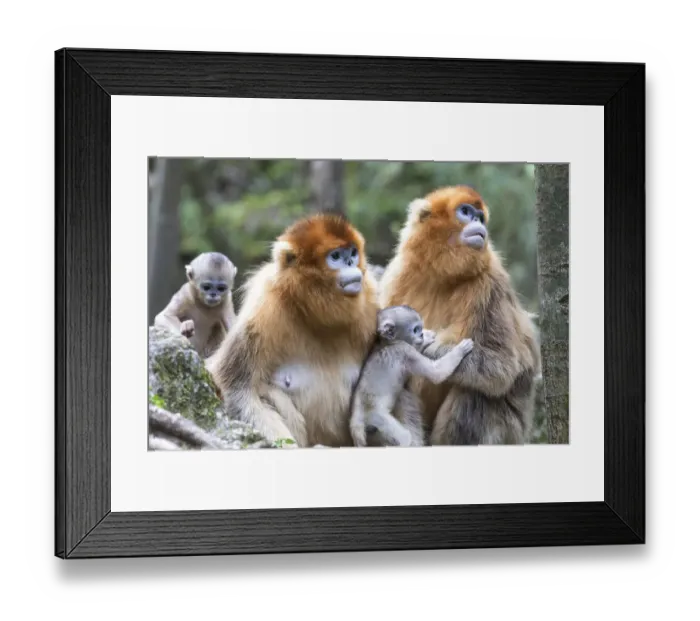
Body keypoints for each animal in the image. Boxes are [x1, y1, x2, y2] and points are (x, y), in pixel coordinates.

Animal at [206, 213, 380, 448]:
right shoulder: (264, 308)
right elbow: (237, 388)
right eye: (335, 256)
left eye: (352, 252)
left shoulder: (371, 301)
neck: (317, 315)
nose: (351, 262)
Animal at [349, 305, 474, 448]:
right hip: (376, 419)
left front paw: (428, 337)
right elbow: (436, 373)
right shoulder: (405, 351)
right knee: (404, 438)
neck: (388, 344)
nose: (421, 334)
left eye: (420, 328)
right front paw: (460, 350)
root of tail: (356, 422)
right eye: (415, 330)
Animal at [380, 185, 541, 445]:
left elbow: (502, 365)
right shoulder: (398, 274)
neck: (442, 275)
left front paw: (429, 349)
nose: (479, 223)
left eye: (481, 217)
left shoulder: (489, 282)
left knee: (475, 393)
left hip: (510, 432)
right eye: (466, 212)